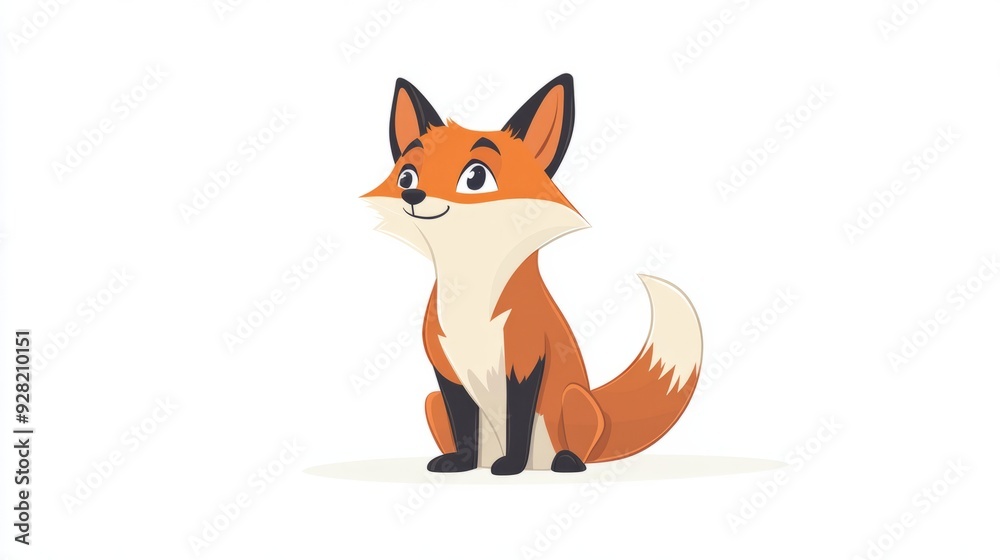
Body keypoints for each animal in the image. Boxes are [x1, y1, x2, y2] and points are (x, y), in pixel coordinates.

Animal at [362, 74, 703, 475]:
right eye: (406, 176)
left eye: (475, 177)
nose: (413, 194)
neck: (470, 299)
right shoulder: (446, 372)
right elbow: (463, 425)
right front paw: (460, 464)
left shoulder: (525, 361)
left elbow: (517, 422)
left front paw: (511, 465)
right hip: (431, 402)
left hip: (574, 400)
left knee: (578, 447)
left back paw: (565, 462)